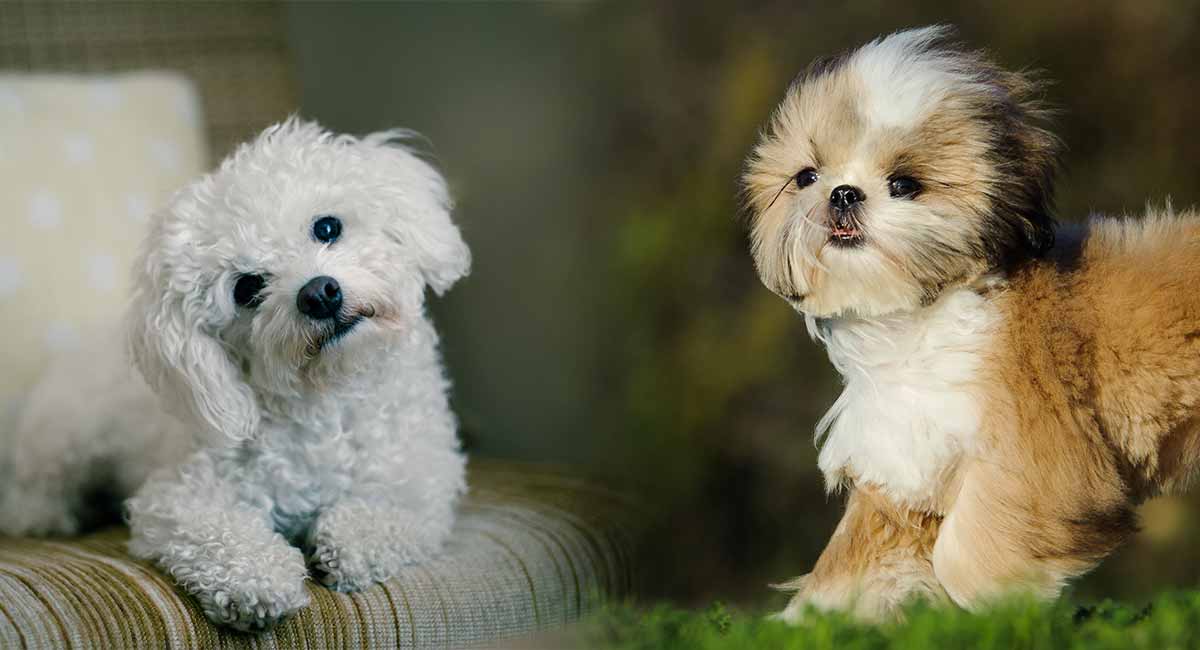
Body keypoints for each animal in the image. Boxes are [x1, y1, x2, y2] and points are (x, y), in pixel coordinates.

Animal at [0, 118, 468, 633]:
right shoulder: (180, 497)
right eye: (247, 288)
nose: (318, 293)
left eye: (327, 227)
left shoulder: (423, 483)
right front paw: (260, 581)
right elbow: (225, 536)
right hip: (60, 440)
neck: (327, 399)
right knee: (32, 493)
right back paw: (46, 515)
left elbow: (384, 516)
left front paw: (349, 544)